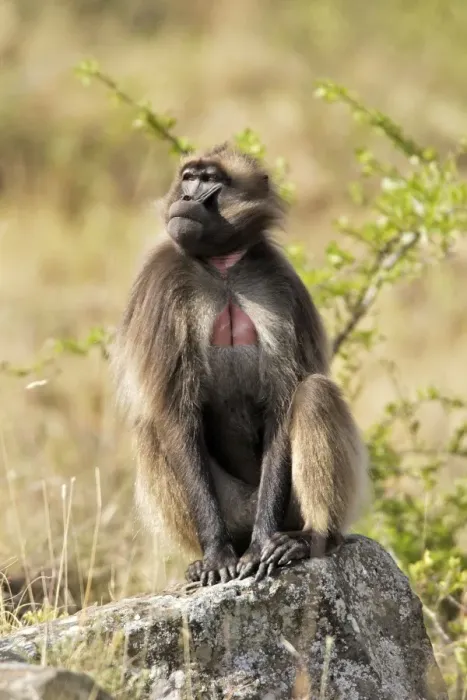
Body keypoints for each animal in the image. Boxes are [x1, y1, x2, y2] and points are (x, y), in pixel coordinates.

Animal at [112, 143, 369, 586]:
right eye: (188, 177)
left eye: (210, 179)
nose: (186, 198)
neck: (223, 268)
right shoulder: (160, 286)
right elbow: (175, 412)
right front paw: (216, 554)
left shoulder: (280, 285)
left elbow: (284, 402)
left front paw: (265, 544)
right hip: (231, 508)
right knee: (150, 426)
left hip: (287, 510)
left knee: (314, 393)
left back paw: (311, 537)